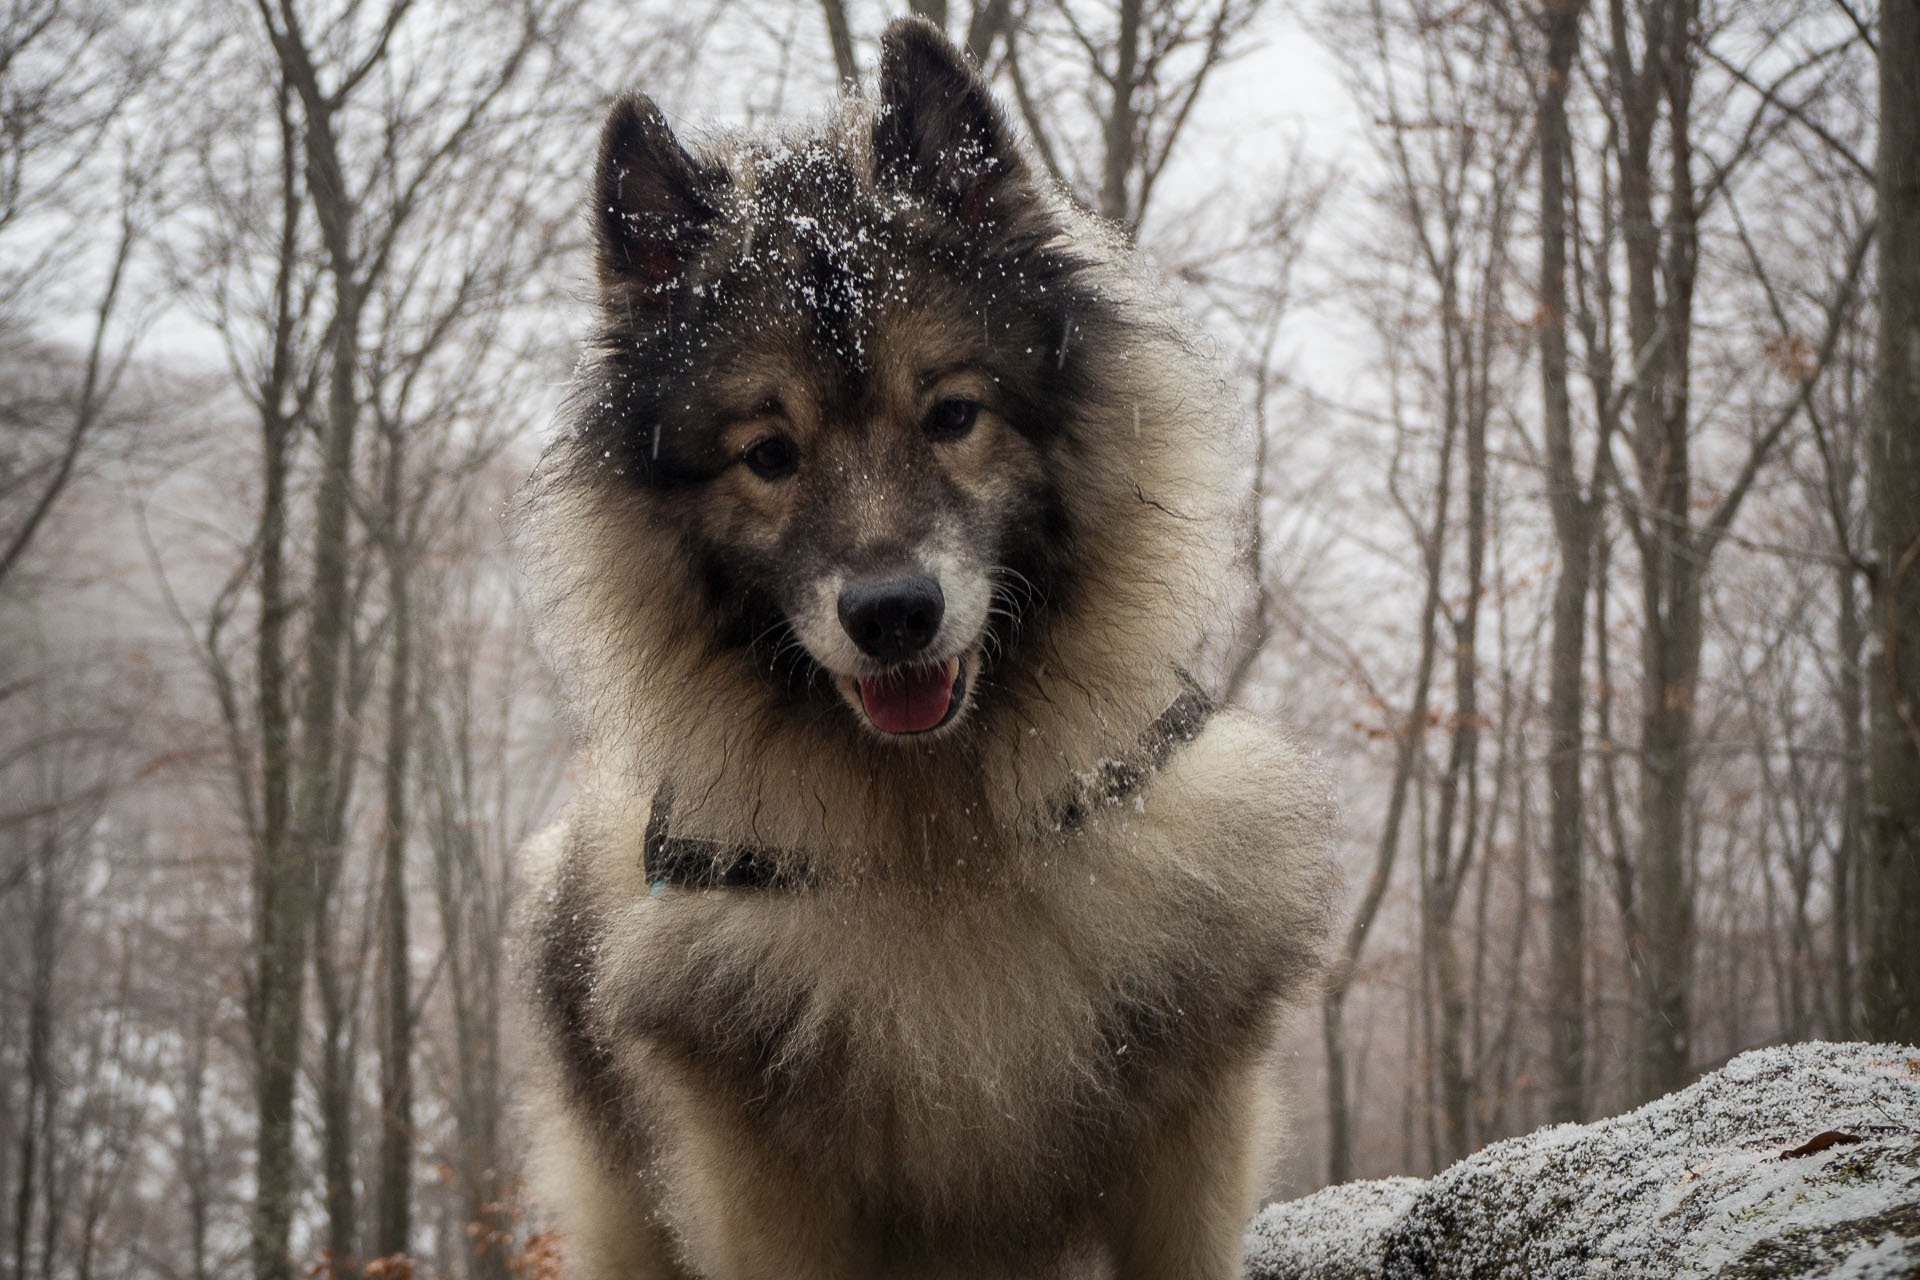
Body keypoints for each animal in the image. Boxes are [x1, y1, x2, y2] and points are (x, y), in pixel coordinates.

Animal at [526, 22, 1336, 1280]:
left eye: (953, 414)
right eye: (770, 454)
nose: (893, 612)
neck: (938, 836)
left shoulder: (1186, 1130)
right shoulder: (763, 1179)